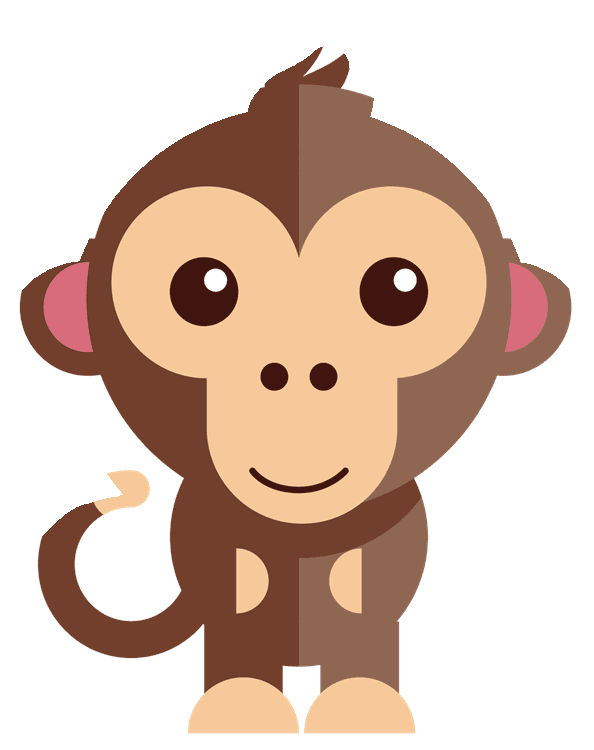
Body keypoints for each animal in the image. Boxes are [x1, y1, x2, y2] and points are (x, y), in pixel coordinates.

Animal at [6, 46, 585, 735]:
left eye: (399, 288)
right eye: (202, 288)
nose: (299, 367)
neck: (299, 534)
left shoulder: (378, 575)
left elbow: (366, 641)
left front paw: (364, 711)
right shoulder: (225, 573)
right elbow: (239, 644)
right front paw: (240, 711)